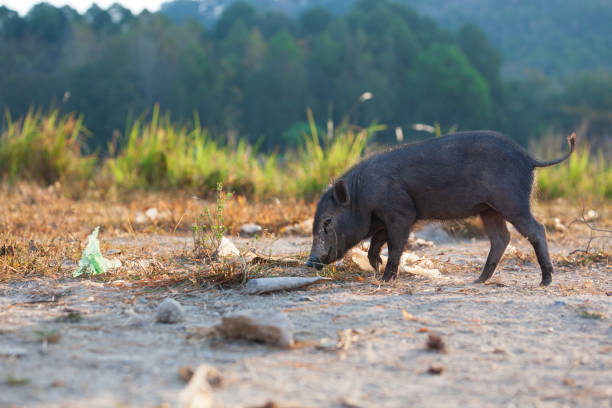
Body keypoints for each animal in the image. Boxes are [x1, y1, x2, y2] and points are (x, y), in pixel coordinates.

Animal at [306, 132, 572, 286]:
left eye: (327, 221)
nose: (310, 262)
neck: (362, 195)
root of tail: (530, 158)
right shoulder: (385, 219)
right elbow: (376, 243)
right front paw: (376, 267)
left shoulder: (402, 213)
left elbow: (394, 245)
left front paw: (386, 277)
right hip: (489, 209)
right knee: (501, 238)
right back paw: (478, 280)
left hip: (512, 201)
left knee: (536, 229)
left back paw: (545, 281)